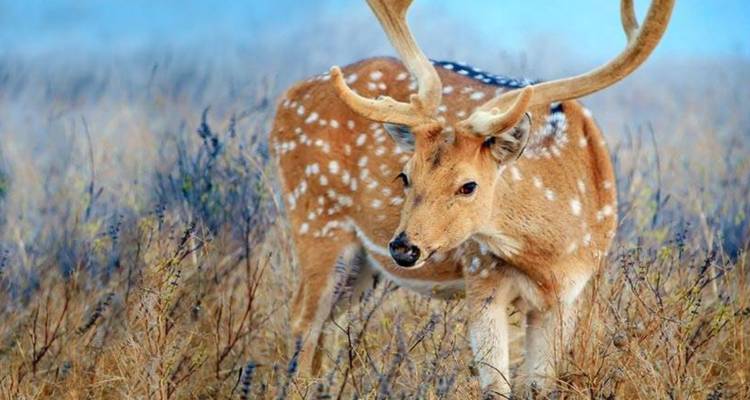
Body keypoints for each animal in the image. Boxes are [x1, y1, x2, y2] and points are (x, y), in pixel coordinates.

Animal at [270, 0, 674, 396]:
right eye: (405, 175)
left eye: (469, 185)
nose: (404, 247)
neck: (550, 258)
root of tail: (288, 97)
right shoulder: (482, 275)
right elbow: (496, 385)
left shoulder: (570, 296)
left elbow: (540, 385)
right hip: (316, 217)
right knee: (302, 322)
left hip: (362, 263)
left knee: (328, 328)